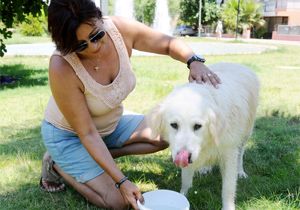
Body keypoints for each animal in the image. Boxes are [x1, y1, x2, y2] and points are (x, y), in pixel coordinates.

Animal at [146, 62, 258, 210]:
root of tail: (236, 64)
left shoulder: (229, 152)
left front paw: (228, 207)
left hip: (245, 134)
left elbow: (228, 188)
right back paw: (205, 169)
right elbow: (186, 181)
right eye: (174, 125)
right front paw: (183, 195)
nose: (184, 156)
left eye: (197, 126)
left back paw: (240, 172)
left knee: (241, 154)